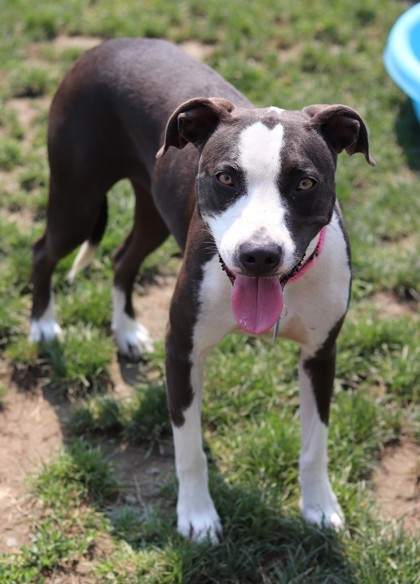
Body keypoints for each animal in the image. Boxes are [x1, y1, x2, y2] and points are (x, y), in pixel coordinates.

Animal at [31, 38, 376, 544]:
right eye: (226, 178)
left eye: (305, 182)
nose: (259, 255)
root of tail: (108, 43)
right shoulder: (183, 350)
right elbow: (189, 448)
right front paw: (196, 517)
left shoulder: (320, 354)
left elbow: (316, 443)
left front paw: (319, 506)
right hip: (78, 198)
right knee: (43, 251)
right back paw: (43, 325)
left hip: (152, 210)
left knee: (122, 260)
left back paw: (126, 331)